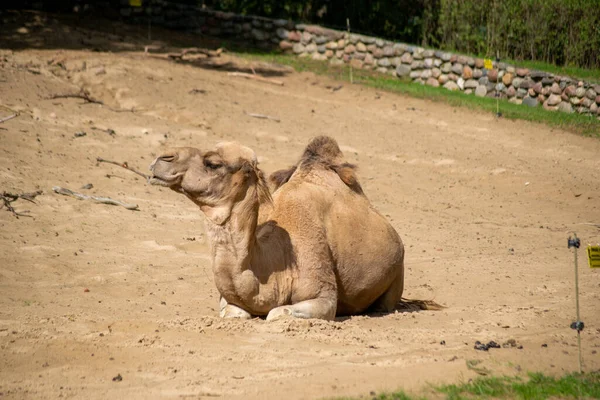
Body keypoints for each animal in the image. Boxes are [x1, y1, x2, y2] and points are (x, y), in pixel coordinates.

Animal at [148, 136, 406, 320]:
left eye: (213, 163)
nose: (162, 159)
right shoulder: (229, 301)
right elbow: (233, 313)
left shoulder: (323, 295)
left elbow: (276, 313)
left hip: (397, 277)